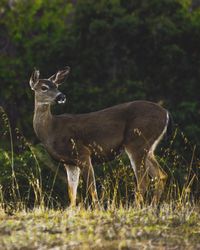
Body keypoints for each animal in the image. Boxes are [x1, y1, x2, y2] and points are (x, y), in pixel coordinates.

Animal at [29, 66, 172, 207]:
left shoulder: (83, 153)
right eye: (44, 87)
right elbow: (72, 193)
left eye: (56, 85)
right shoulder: (69, 163)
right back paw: (152, 207)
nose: (61, 96)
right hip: (148, 148)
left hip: (137, 142)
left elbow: (91, 188)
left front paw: (97, 208)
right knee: (161, 176)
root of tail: (166, 113)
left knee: (144, 181)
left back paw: (137, 207)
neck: (51, 130)